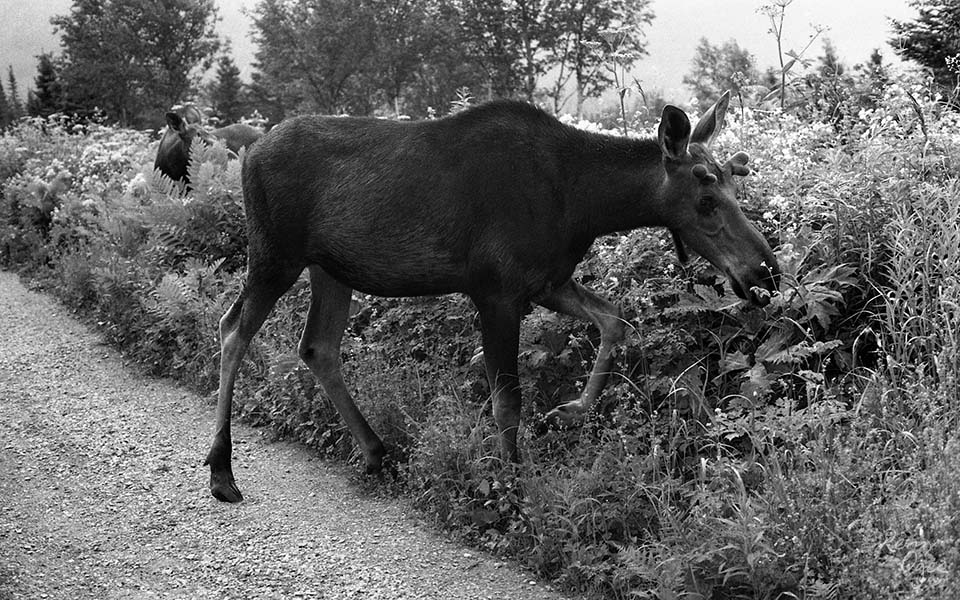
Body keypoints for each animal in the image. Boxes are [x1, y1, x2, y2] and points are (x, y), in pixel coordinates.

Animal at [204, 91, 781, 502]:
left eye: (734, 184)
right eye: (705, 197)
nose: (766, 271)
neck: (583, 205)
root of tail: (249, 153)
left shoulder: (547, 281)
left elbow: (615, 321)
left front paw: (571, 410)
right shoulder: (495, 290)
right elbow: (507, 399)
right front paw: (511, 484)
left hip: (331, 268)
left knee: (317, 347)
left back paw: (373, 451)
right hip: (274, 255)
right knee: (232, 330)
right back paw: (222, 472)